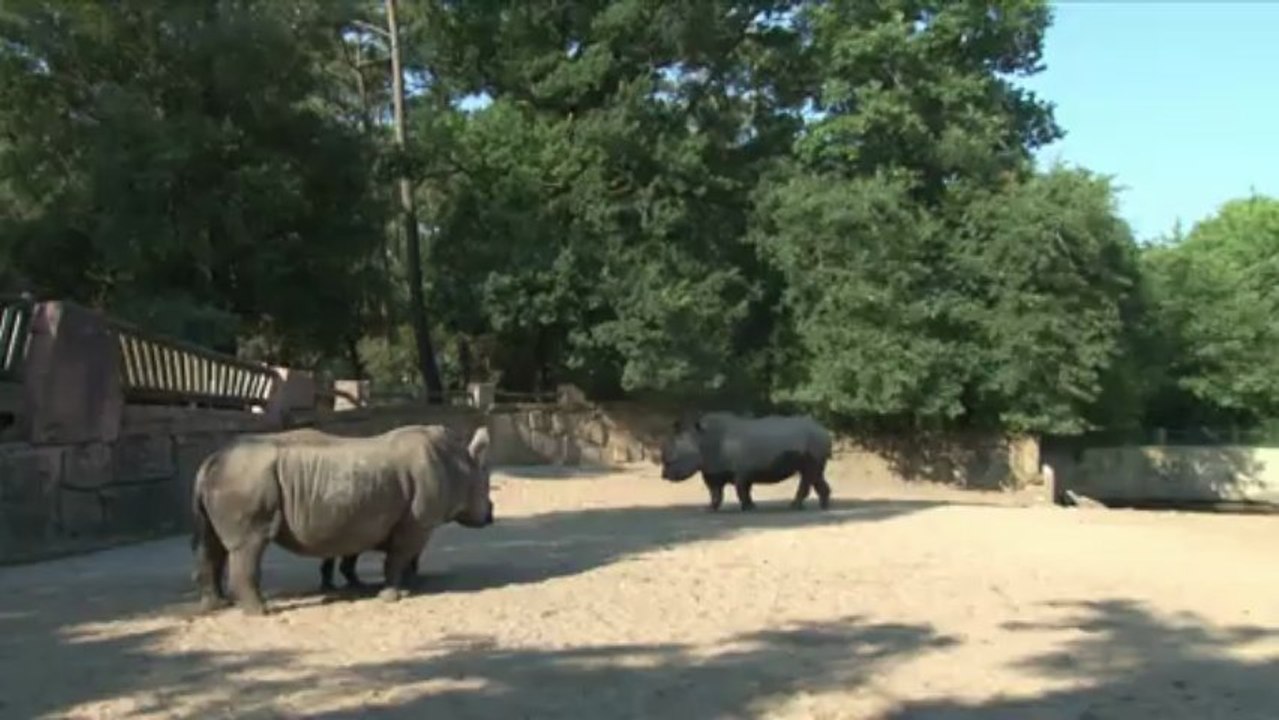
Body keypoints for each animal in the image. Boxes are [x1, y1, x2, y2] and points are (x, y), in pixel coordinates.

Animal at [191, 423, 494, 615]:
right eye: (487, 489)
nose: (491, 514)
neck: (461, 466)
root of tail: (209, 461)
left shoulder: (362, 519)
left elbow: (360, 554)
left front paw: (379, 585)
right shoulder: (418, 521)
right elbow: (399, 556)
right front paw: (392, 595)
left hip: (228, 479)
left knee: (212, 543)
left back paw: (215, 606)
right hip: (245, 480)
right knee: (249, 545)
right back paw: (260, 612)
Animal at [660, 411, 833, 511]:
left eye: (674, 459)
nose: (664, 475)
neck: (701, 441)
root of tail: (824, 430)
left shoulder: (741, 471)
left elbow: (741, 489)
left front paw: (748, 508)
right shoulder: (712, 470)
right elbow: (715, 491)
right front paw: (709, 509)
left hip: (814, 441)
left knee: (809, 473)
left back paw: (795, 507)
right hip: (815, 442)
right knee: (815, 474)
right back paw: (824, 506)